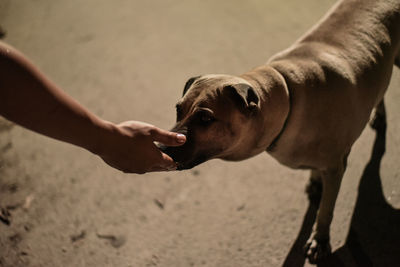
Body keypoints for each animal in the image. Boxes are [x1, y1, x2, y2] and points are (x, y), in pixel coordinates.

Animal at [160, 0, 400, 264]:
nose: (159, 147)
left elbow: (325, 209)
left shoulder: (335, 167)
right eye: (178, 110)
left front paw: (320, 238)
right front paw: (314, 179)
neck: (289, 96)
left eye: (205, 118)